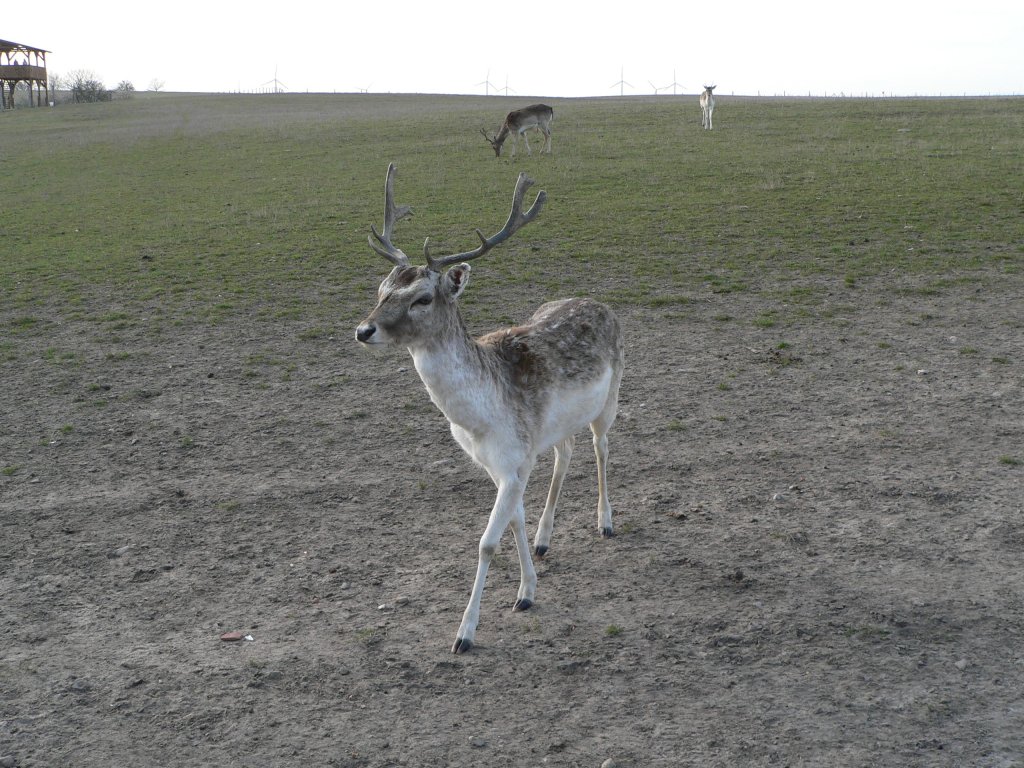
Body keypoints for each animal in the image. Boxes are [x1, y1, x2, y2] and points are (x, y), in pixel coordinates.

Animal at [352, 163, 622, 655]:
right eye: (382, 289)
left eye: (423, 297)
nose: (364, 330)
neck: (479, 419)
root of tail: (601, 303)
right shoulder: (500, 464)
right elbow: (514, 523)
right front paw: (527, 590)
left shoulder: (515, 461)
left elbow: (486, 543)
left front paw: (465, 633)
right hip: (556, 429)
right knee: (566, 453)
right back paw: (545, 540)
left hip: (611, 397)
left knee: (601, 448)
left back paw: (606, 522)